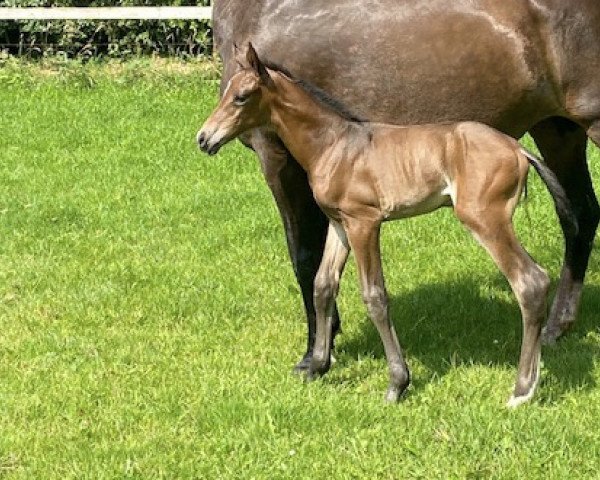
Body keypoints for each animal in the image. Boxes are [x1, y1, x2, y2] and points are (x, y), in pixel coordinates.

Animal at [212, 0, 600, 372]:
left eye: (241, 97)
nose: (204, 138)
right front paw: (323, 349)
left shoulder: (276, 157)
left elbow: (304, 258)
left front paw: (314, 355)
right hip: (557, 130)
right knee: (579, 215)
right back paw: (556, 327)